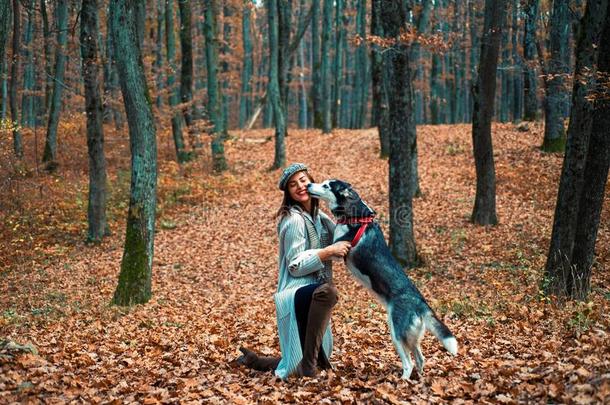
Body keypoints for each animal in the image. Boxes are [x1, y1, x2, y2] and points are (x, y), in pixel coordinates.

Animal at [306, 180, 454, 378]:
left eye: (326, 186)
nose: (308, 184)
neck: (356, 217)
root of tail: (421, 303)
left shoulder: (338, 248)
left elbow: (318, 250)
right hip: (409, 336)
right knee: (421, 358)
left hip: (396, 333)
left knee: (409, 363)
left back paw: (403, 380)